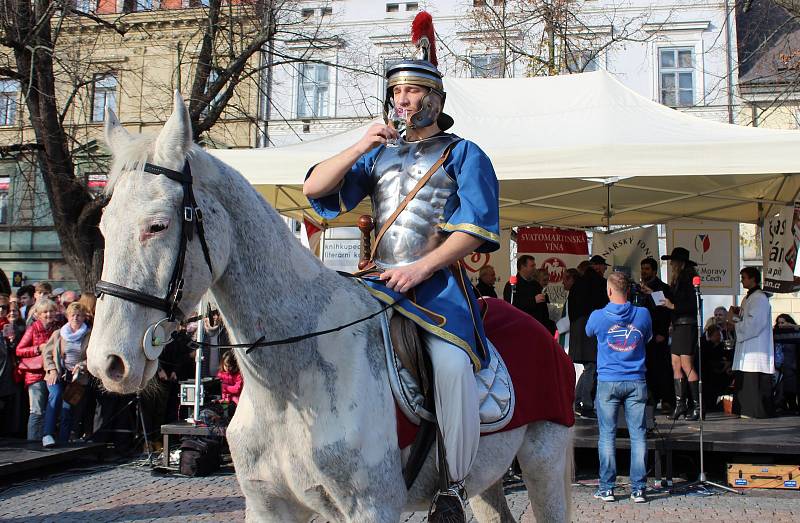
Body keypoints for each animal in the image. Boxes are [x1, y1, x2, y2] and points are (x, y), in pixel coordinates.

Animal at [87, 94, 572, 523]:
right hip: (487, 475)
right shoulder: (269, 508)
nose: (107, 362)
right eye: (103, 225)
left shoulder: (372, 509)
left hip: (543, 459)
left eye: (157, 225)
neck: (290, 386)